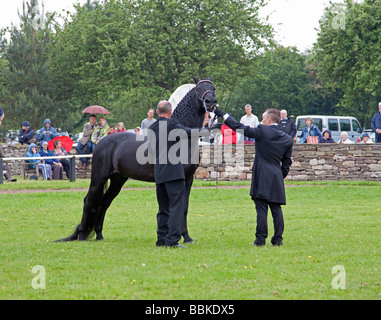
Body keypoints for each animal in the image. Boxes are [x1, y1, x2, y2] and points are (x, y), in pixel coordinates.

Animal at [56, 76, 217, 242]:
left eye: (213, 87)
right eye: (198, 89)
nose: (211, 102)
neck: (182, 138)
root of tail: (101, 142)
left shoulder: (188, 178)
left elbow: (184, 208)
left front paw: (186, 237)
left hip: (118, 179)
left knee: (105, 202)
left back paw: (99, 235)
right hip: (98, 177)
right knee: (89, 201)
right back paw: (82, 235)